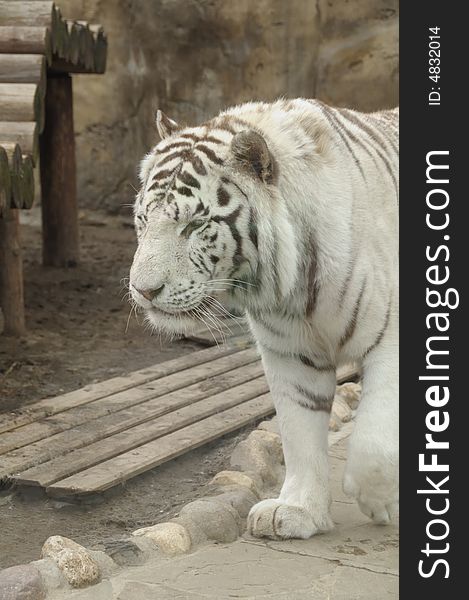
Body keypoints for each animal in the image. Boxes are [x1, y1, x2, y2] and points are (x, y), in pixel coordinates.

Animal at [129, 98, 398, 540]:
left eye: (194, 225)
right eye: (143, 220)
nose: (143, 290)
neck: (295, 284)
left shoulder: (391, 337)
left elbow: (375, 438)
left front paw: (379, 502)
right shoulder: (291, 354)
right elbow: (298, 433)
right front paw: (296, 510)